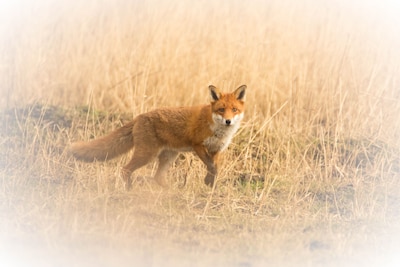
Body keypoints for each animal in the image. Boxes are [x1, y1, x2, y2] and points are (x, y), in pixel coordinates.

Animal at [71, 85, 247, 189]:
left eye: (234, 109)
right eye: (221, 109)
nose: (228, 121)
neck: (218, 130)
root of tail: (139, 116)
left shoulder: (216, 149)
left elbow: (214, 168)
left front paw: (210, 184)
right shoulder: (197, 145)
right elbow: (211, 166)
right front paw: (209, 182)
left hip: (169, 156)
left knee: (157, 177)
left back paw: (170, 191)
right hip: (147, 155)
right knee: (125, 170)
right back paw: (129, 189)